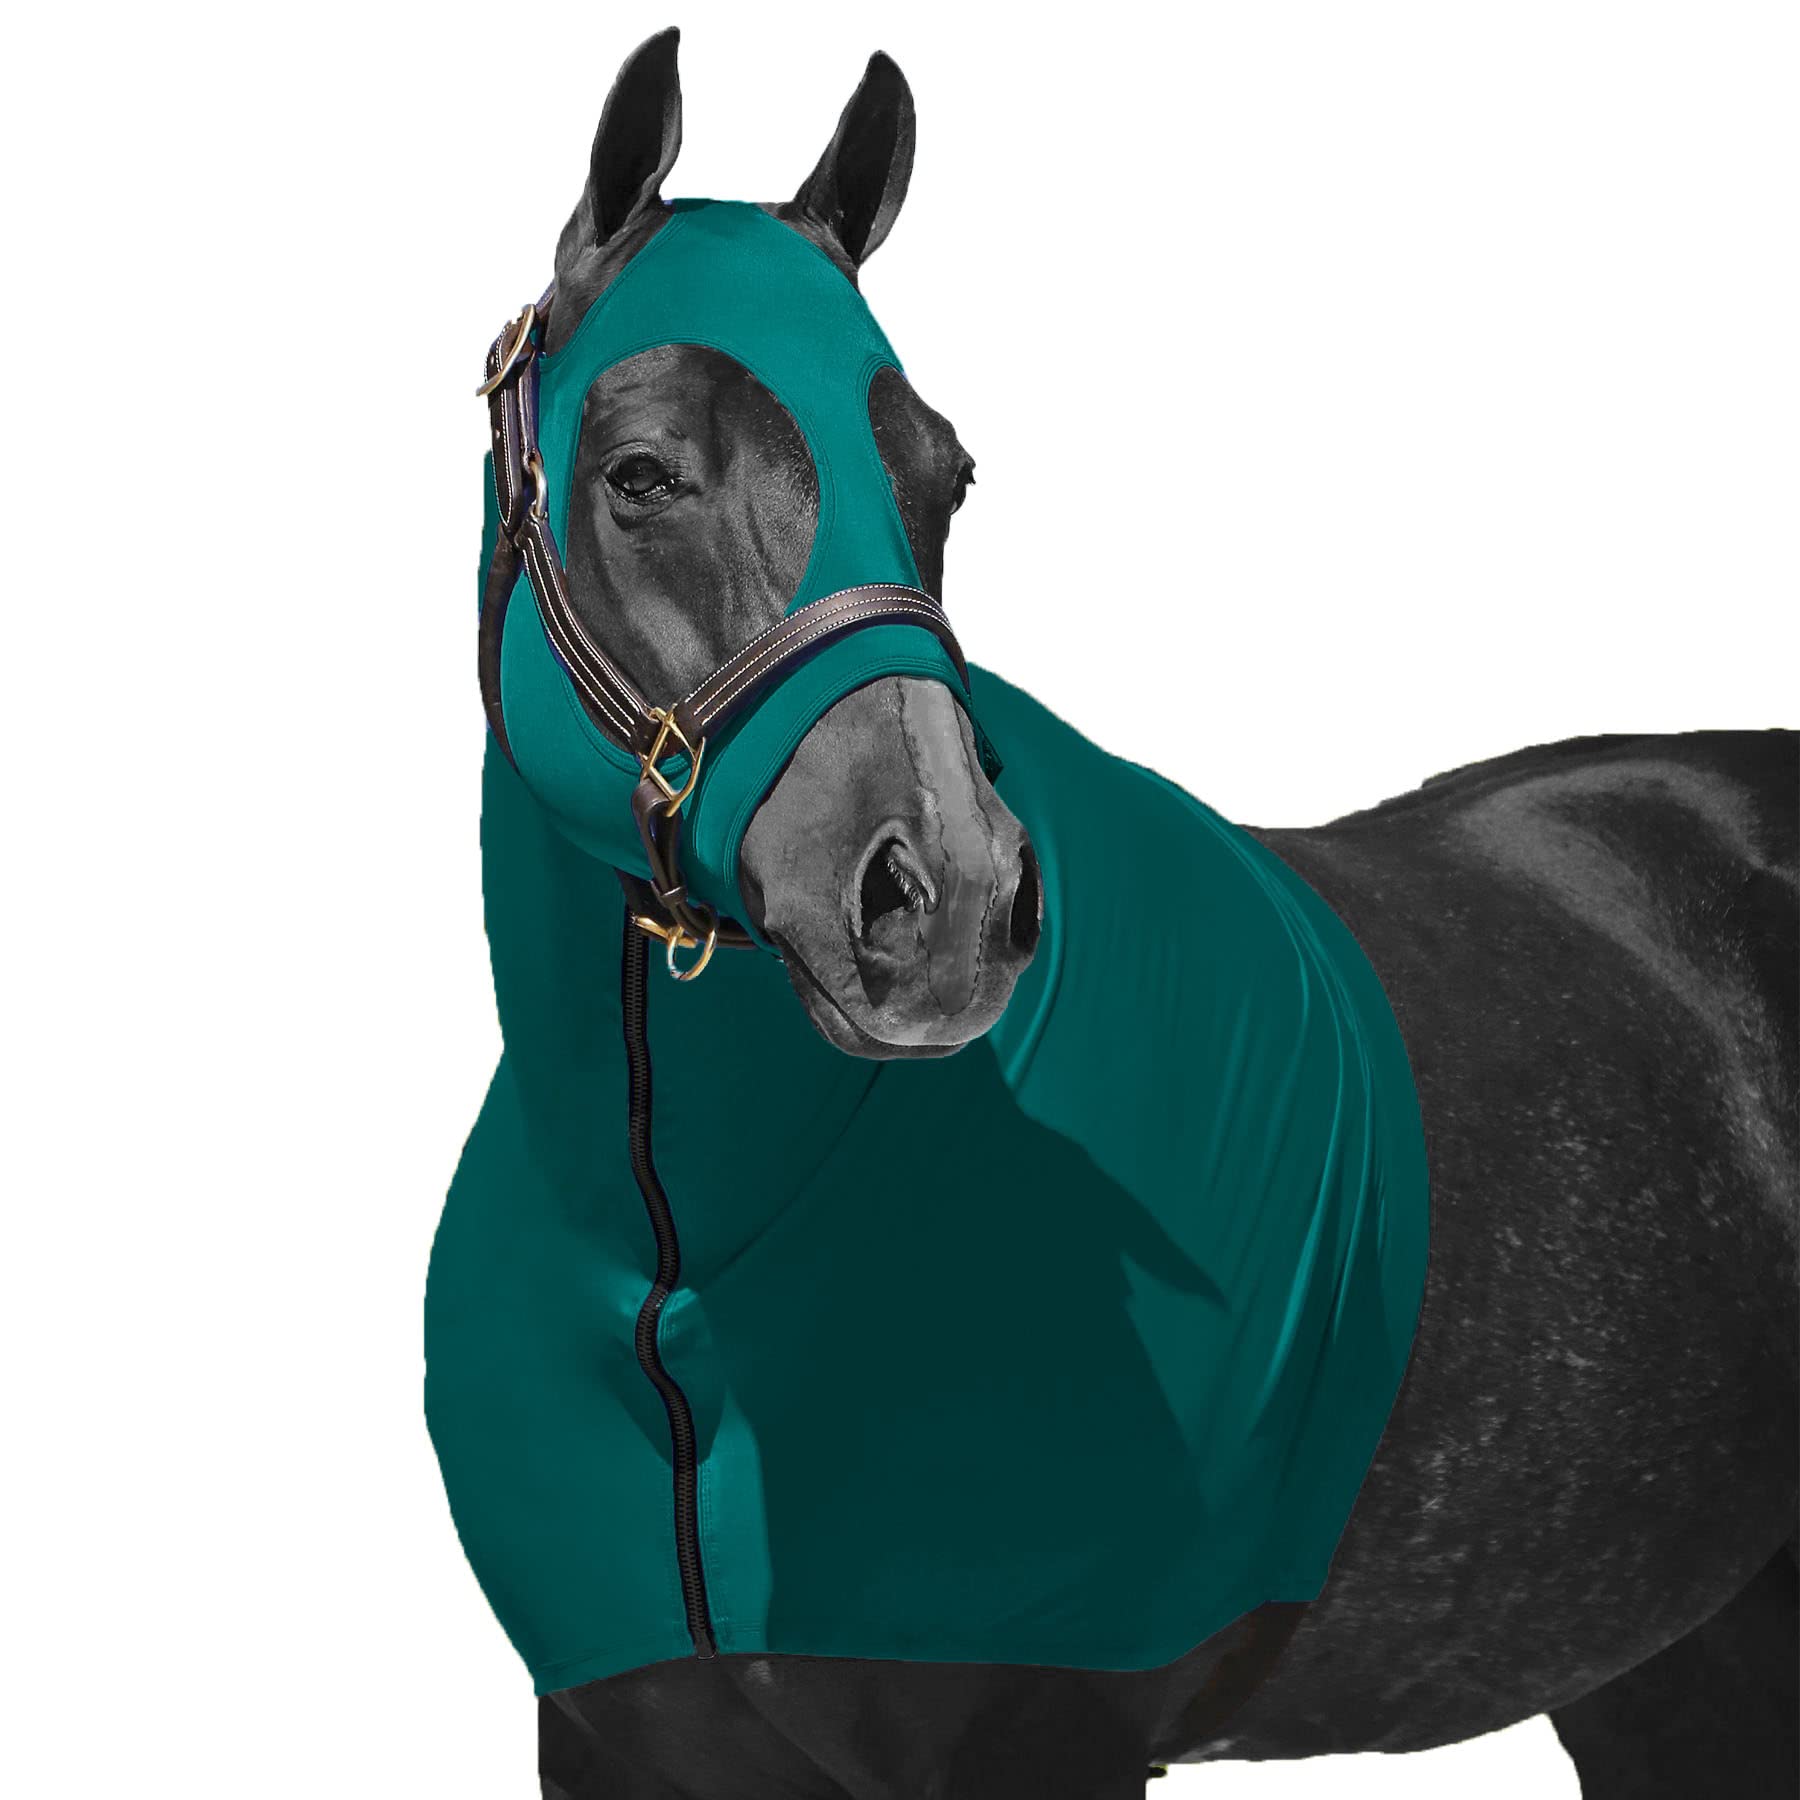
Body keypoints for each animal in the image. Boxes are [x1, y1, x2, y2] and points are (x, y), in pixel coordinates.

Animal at [432, 30, 1798, 1798]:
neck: (682, 1262)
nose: (943, 900)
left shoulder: (1045, 1737)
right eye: (641, 474)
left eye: (942, 475)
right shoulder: (619, 1742)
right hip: (1676, 1661)